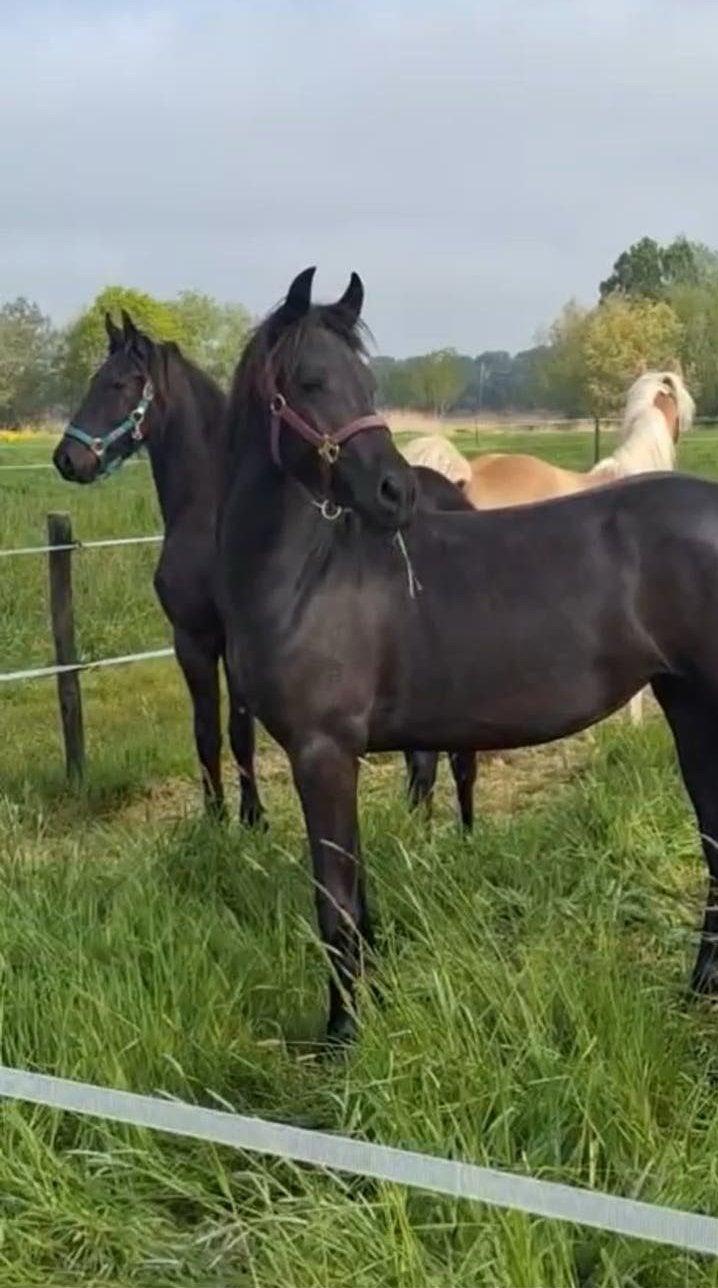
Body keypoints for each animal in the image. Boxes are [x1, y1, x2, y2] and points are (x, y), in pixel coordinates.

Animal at [52, 311, 265, 827]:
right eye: (93, 380)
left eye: (120, 383)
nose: (67, 458)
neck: (211, 512)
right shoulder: (191, 639)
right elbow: (205, 731)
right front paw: (215, 819)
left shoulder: (231, 642)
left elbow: (239, 731)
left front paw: (251, 818)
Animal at [219, 265, 718, 1044]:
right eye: (308, 381)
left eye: (364, 380)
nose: (394, 492)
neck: (307, 573)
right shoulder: (337, 758)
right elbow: (359, 899)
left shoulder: (322, 752)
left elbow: (335, 905)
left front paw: (341, 1040)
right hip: (689, 707)